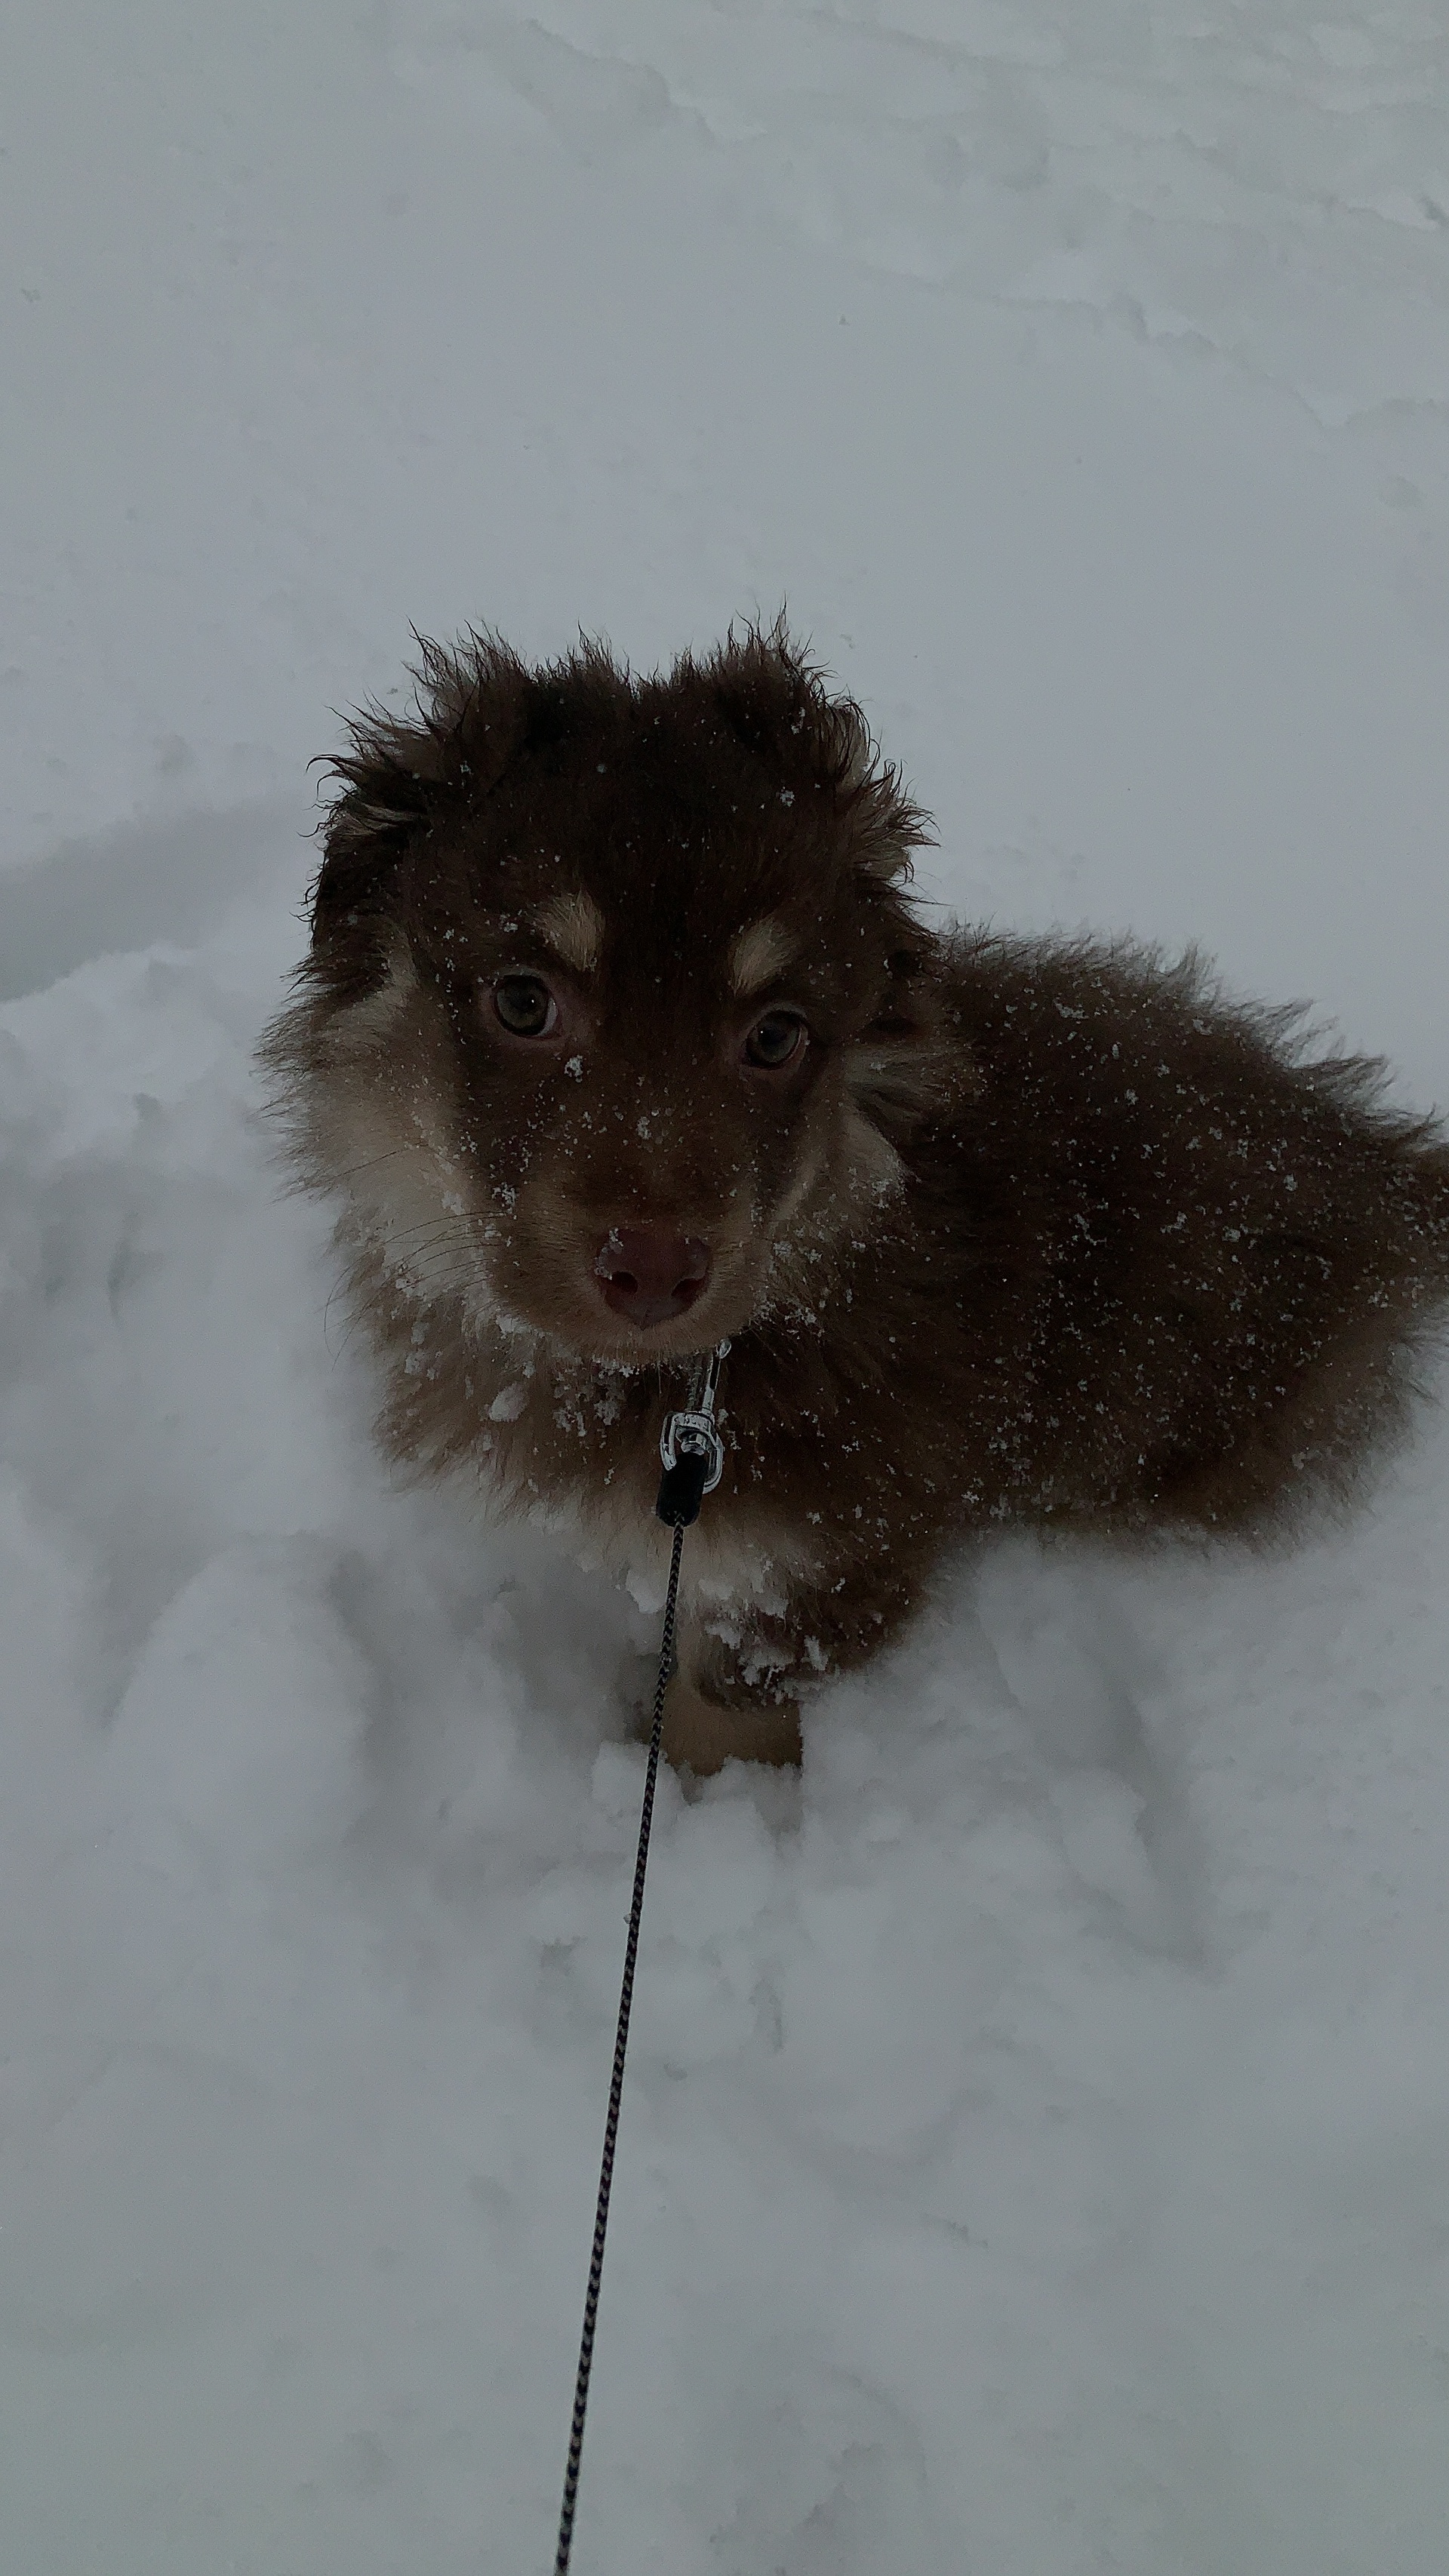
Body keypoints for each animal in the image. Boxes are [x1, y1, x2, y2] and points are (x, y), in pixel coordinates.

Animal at [261, 633, 1449, 1782]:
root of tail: (1381, 1159)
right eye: (521, 1000)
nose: (655, 1270)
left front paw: (694, 1806)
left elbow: (717, 1710)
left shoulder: (824, 1563)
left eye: (777, 1035)